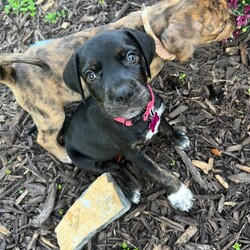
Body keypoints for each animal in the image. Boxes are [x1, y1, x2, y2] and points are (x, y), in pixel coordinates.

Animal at [0, 0, 234, 163]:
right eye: (222, 25)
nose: (233, 22)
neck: (148, 28)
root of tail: (12, 72)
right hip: (51, 114)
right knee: (44, 139)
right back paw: (64, 155)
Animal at [62, 29, 193, 211]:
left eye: (131, 57)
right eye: (91, 75)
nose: (123, 94)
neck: (138, 117)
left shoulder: (156, 112)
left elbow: (166, 126)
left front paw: (178, 138)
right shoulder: (133, 153)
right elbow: (157, 172)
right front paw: (178, 193)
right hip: (84, 161)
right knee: (113, 168)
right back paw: (131, 189)